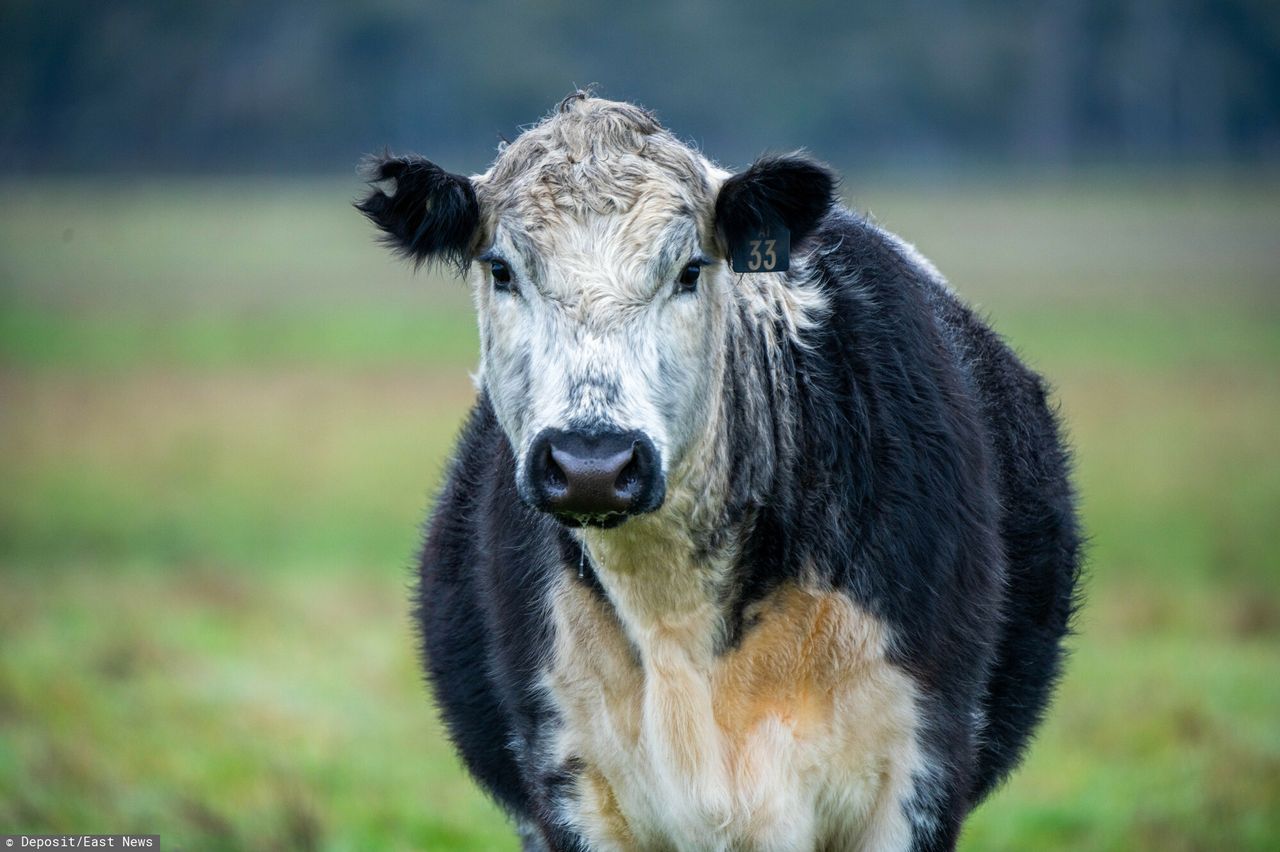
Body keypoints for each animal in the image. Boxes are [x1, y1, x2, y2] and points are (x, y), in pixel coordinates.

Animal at [358, 89, 1080, 844]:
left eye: (690, 269)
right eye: (502, 269)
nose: (593, 461)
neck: (678, 623)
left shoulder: (919, 774)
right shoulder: (566, 777)